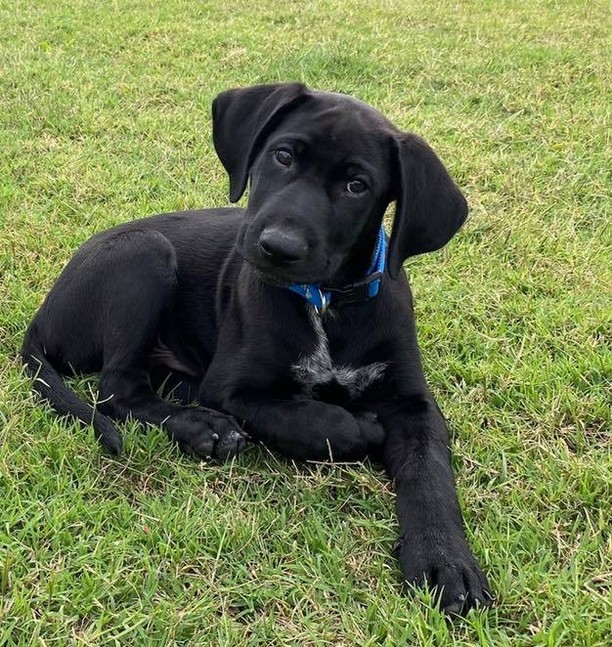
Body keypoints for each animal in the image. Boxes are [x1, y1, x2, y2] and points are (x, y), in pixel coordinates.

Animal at [22, 83, 492, 616]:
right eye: (282, 156)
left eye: (357, 186)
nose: (278, 246)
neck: (326, 302)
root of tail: (43, 313)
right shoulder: (233, 388)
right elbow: (310, 419)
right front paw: (359, 429)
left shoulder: (413, 403)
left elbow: (429, 472)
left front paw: (444, 560)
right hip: (145, 253)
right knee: (118, 390)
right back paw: (203, 426)